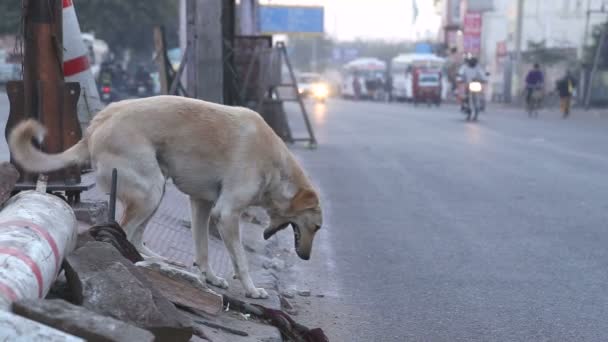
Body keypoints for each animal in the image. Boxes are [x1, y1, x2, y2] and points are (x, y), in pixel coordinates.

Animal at [9, 95, 324, 298]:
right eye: (317, 227)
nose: (307, 257)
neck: (277, 168)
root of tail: (97, 124)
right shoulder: (227, 214)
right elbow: (241, 260)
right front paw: (251, 289)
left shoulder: (202, 205)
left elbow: (203, 249)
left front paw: (209, 277)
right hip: (151, 189)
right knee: (125, 232)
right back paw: (143, 262)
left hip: (155, 191)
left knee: (135, 236)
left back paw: (159, 262)